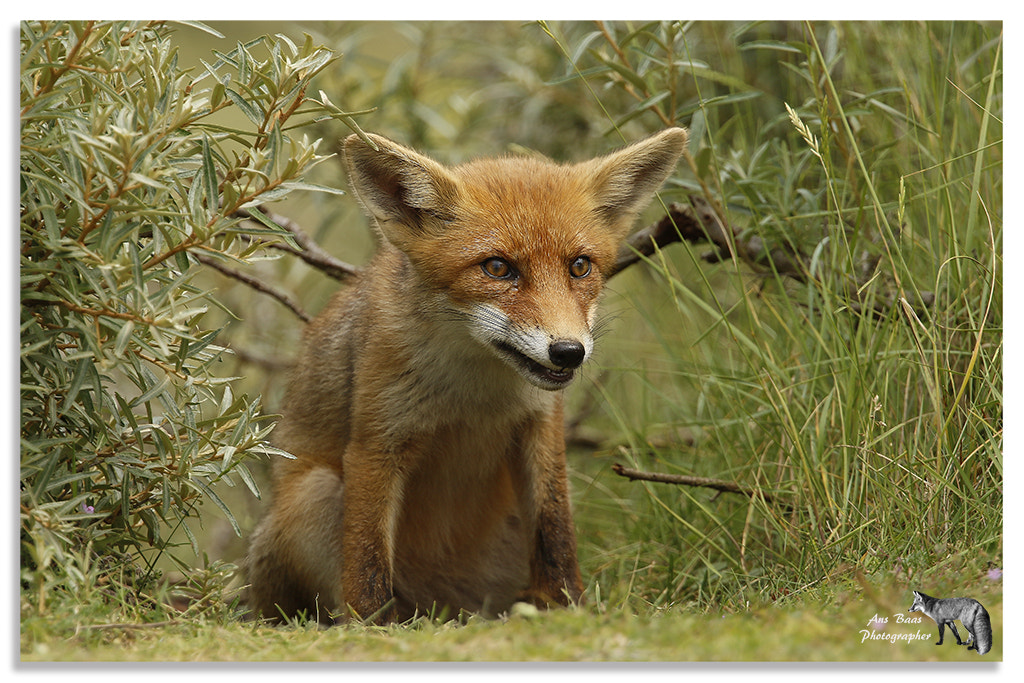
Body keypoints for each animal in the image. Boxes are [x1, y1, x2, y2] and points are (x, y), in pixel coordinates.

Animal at [243, 125, 684, 622]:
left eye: (579, 266)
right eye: (497, 268)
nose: (569, 352)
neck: (475, 395)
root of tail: (446, 605)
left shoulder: (541, 429)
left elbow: (556, 532)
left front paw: (565, 605)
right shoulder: (376, 444)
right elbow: (366, 558)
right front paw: (370, 624)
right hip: (313, 494)